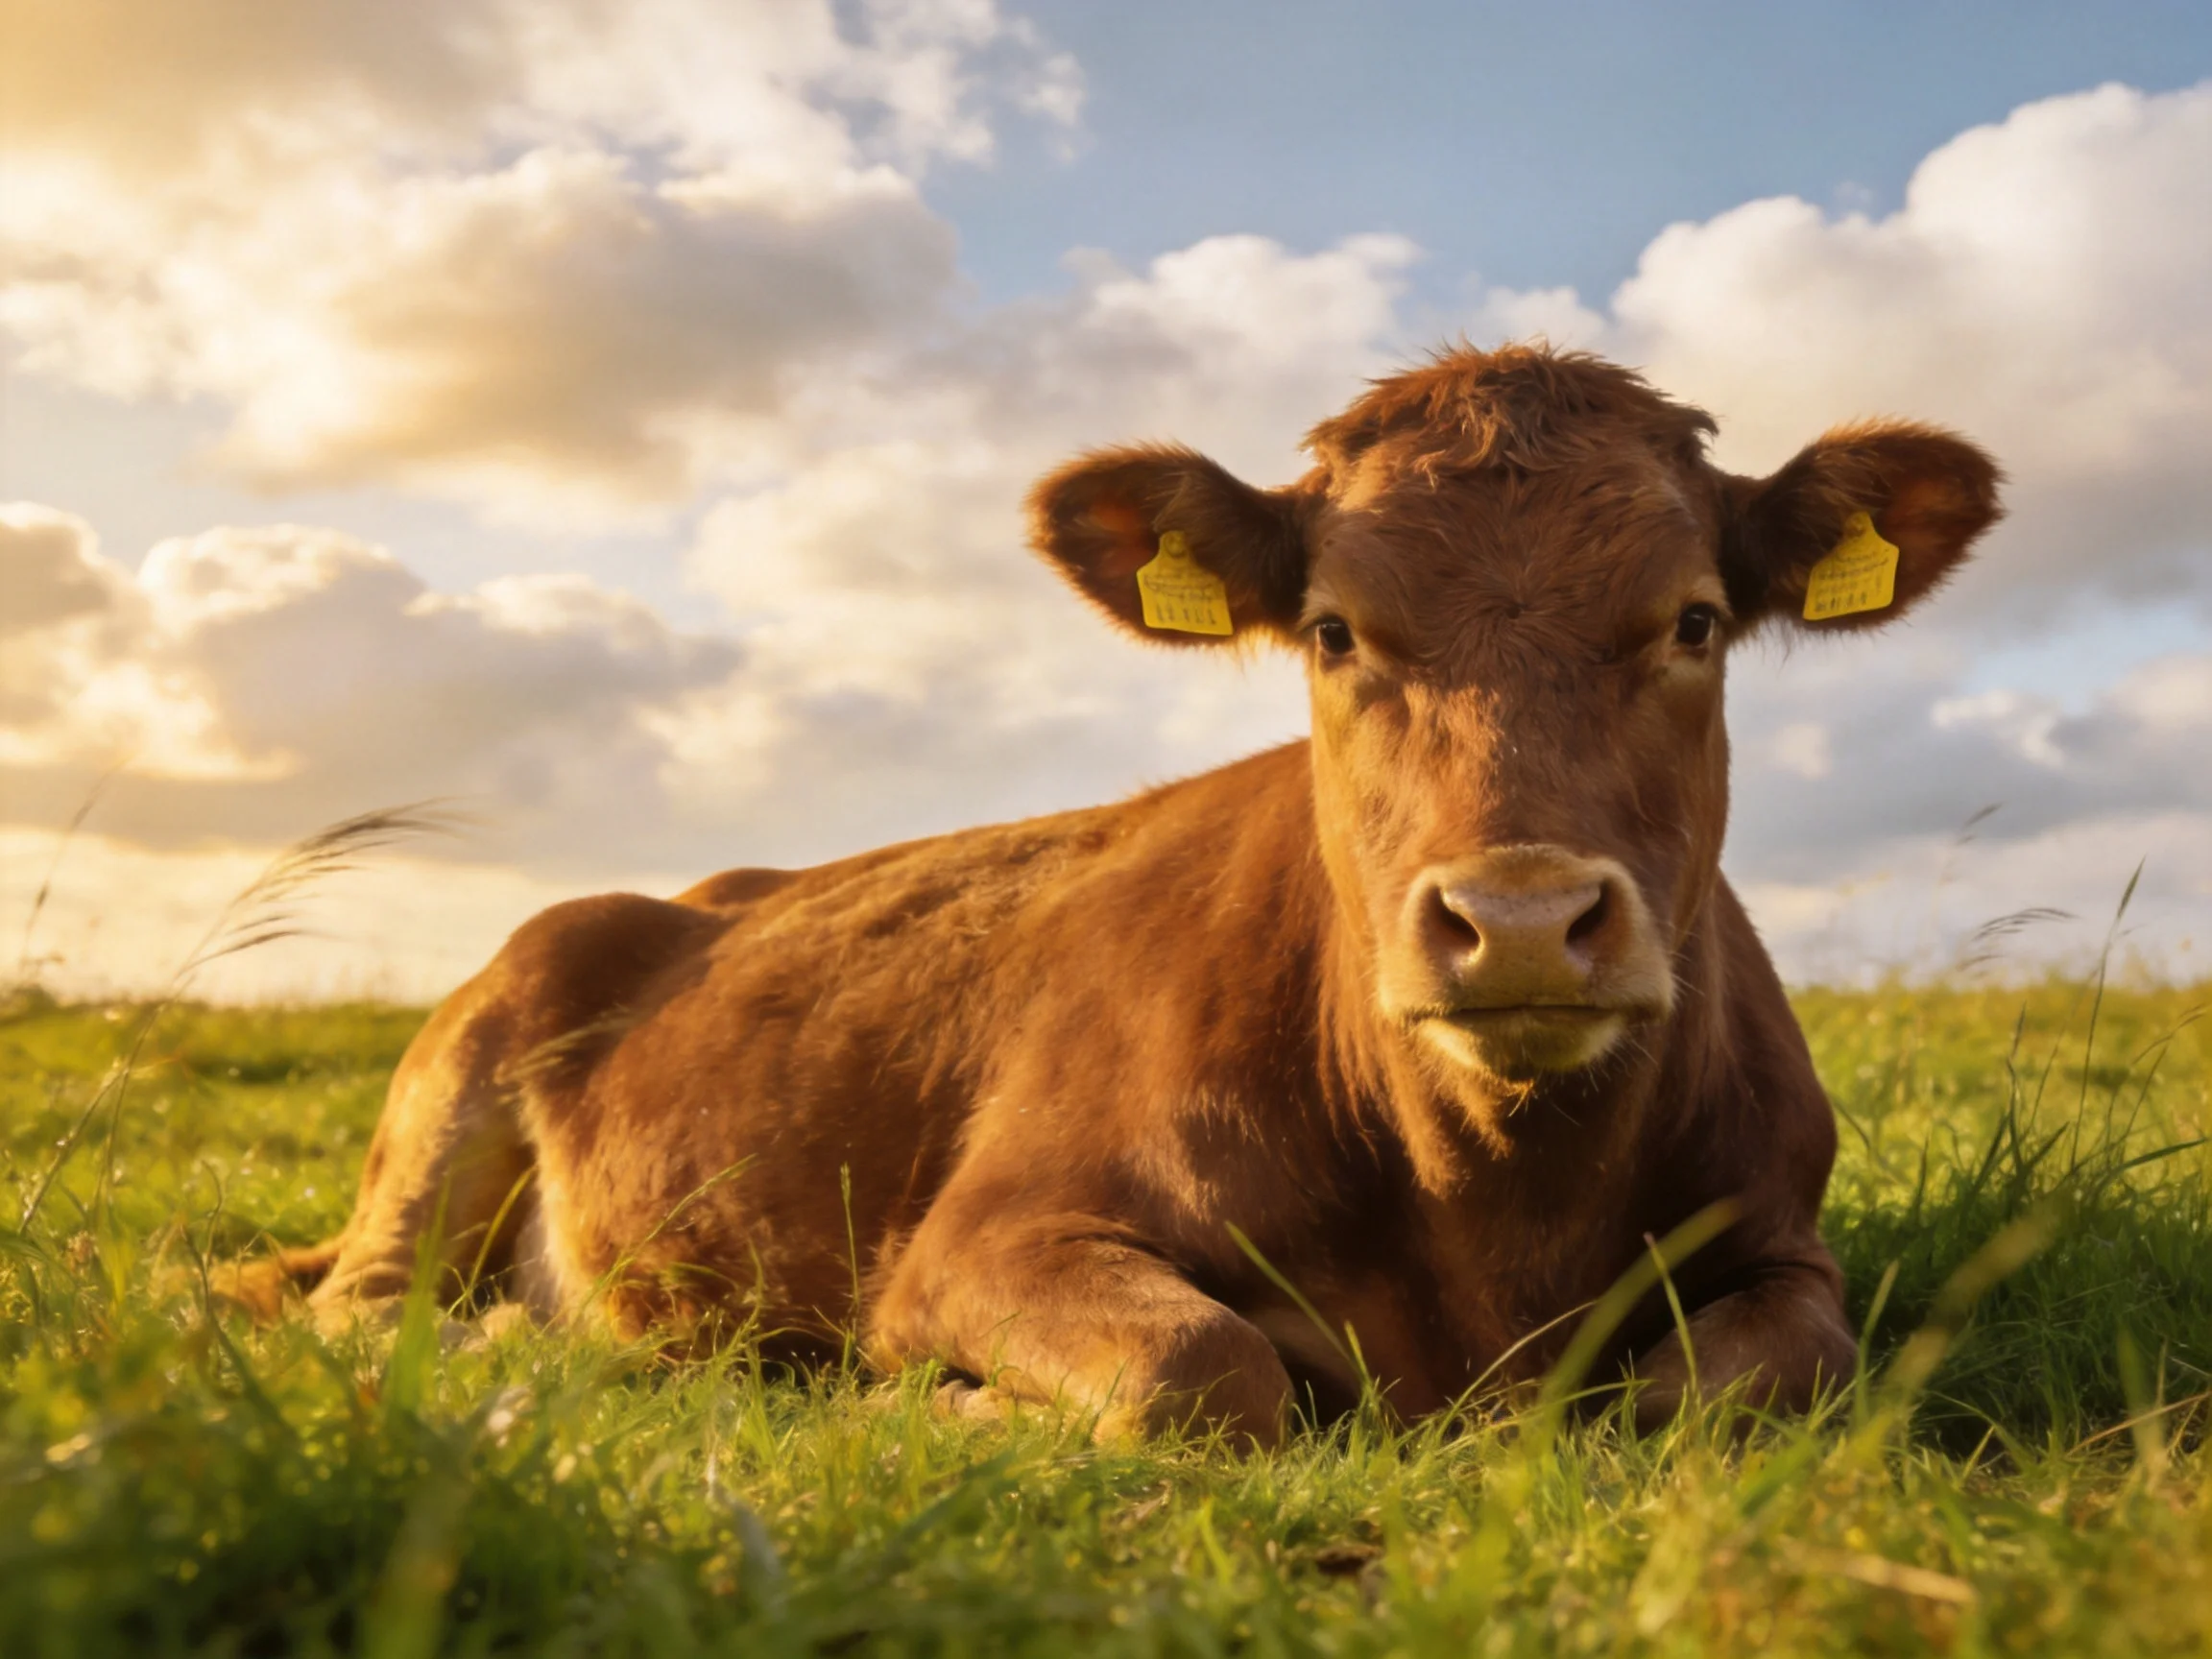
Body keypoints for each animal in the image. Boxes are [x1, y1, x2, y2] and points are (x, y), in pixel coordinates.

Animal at [247, 345, 2002, 1446]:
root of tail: (688, 891)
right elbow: (1196, 1367)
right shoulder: (974, 1240)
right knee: (358, 1306)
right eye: (1334, 632)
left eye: (1694, 619)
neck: (1496, 1215)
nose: (1516, 920)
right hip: (462, 1073)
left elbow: (1726, 1385)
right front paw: (930, 1407)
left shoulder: (1785, 1238)